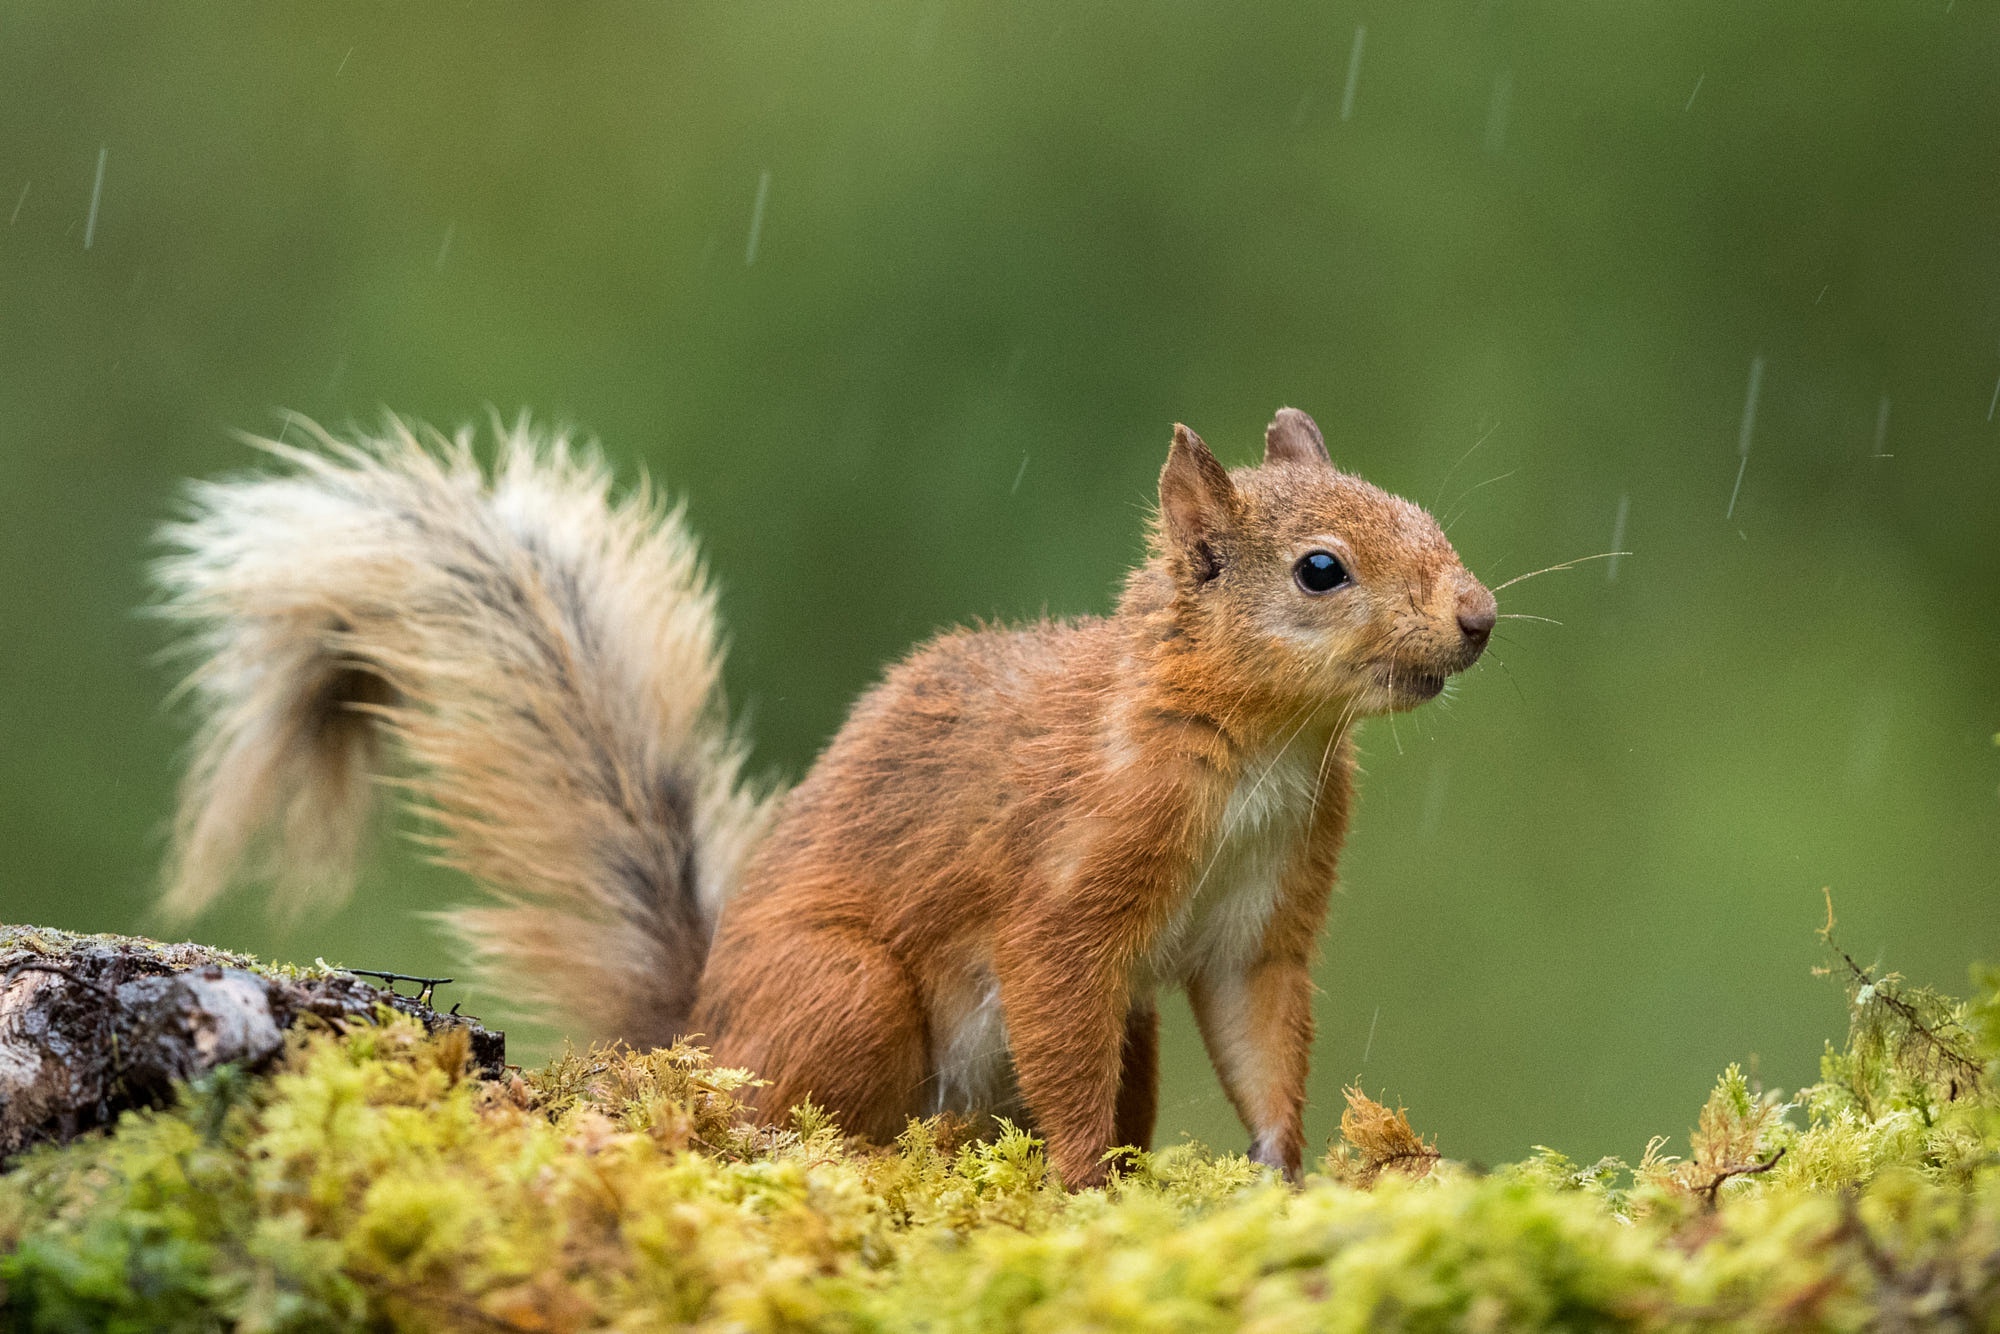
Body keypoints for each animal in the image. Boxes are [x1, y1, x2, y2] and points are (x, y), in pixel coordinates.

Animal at [153, 407, 1494, 1187]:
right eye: (1319, 570)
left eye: (1424, 515)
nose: (1478, 618)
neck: (1261, 750)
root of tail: (692, 1032)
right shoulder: (1064, 893)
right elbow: (1059, 1023)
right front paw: (1081, 1180)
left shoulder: (1255, 926)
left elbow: (1260, 1038)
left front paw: (1282, 1171)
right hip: (846, 991)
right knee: (790, 1111)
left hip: (1128, 1025)